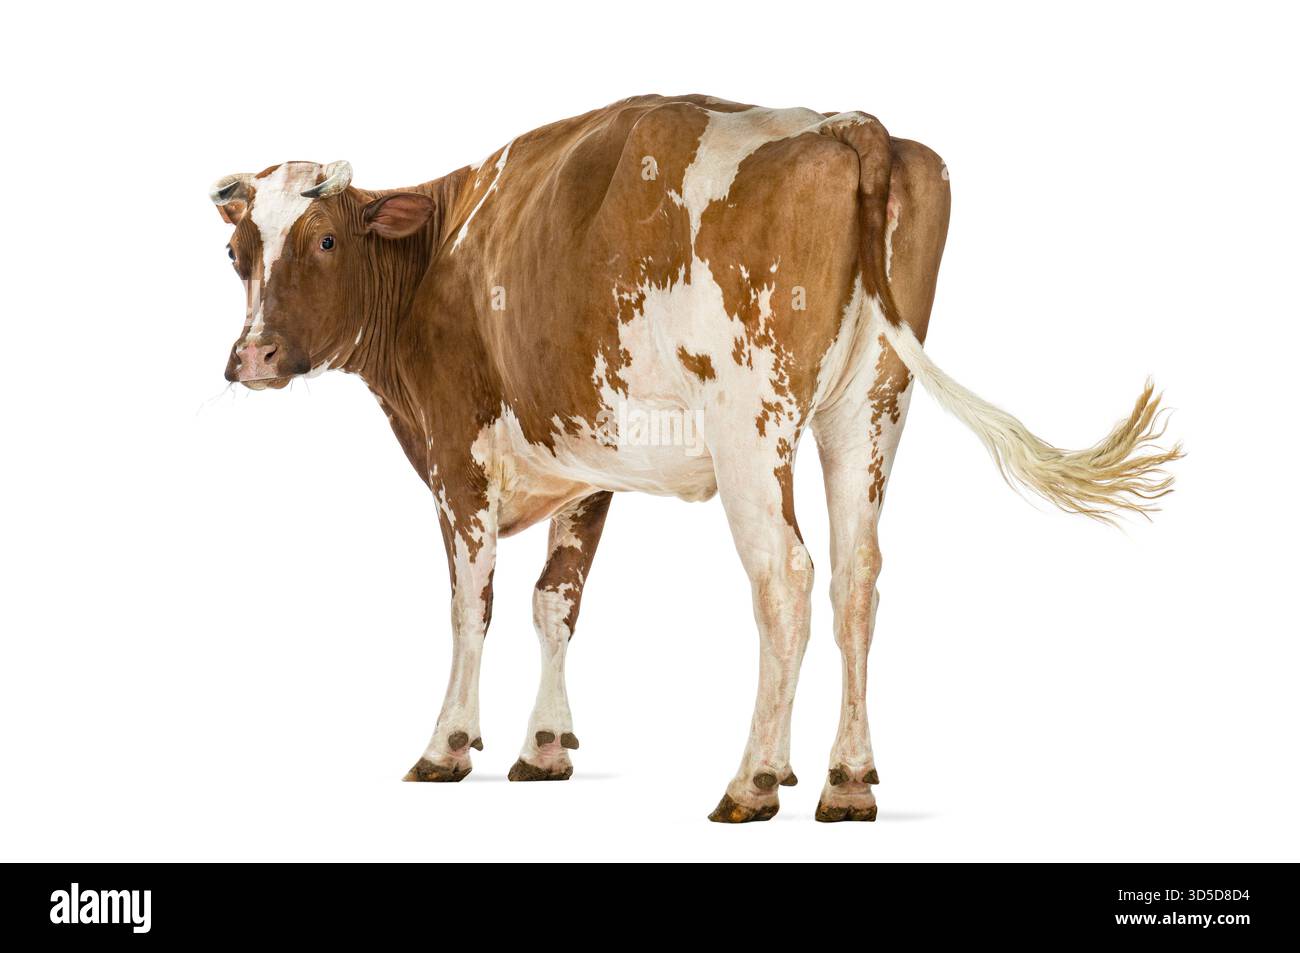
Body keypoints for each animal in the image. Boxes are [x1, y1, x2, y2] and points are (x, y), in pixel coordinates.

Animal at [209, 94, 1181, 822]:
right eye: (235, 251)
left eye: (325, 239)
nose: (250, 357)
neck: (435, 257)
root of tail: (842, 121)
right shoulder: (583, 465)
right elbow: (555, 603)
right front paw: (545, 746)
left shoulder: (459, 452)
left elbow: (469, 606)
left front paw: (447, 744)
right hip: (871, 405)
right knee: (855, 578)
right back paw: (842, 777)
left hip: (749, 419)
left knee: (785, 574)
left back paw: (751, 781)